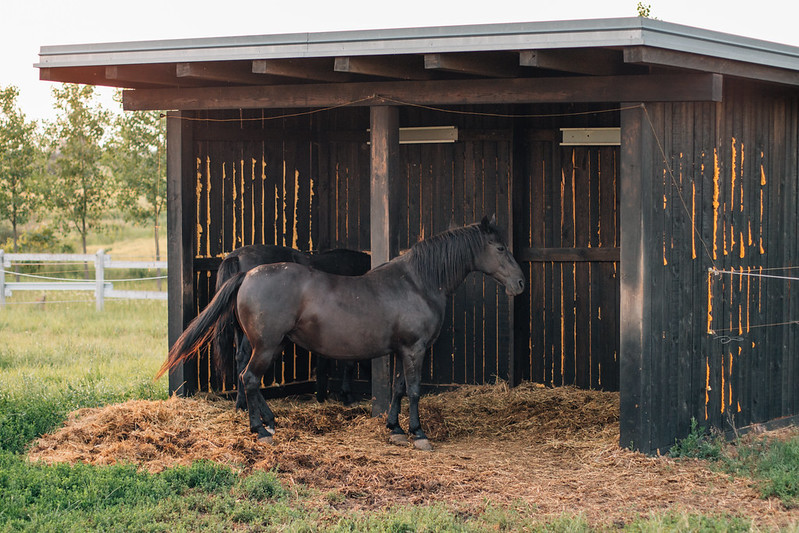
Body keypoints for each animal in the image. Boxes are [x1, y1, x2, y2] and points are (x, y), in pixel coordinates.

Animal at [214, 243, 374, 406]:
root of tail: (236, 256)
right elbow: (350, 363)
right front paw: (347, 395)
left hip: (239, 327)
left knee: (240, 358)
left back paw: (241, 403)